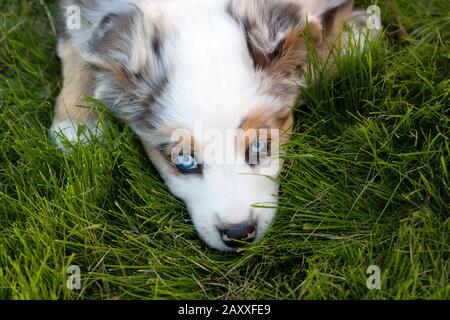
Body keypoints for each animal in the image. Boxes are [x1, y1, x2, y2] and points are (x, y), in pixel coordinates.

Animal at [50, 0, 372, 251]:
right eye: (185, 161)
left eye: (260, 147)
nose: (239, 234)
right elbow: (75, 46)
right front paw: (77, 127)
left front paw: (356, 36)